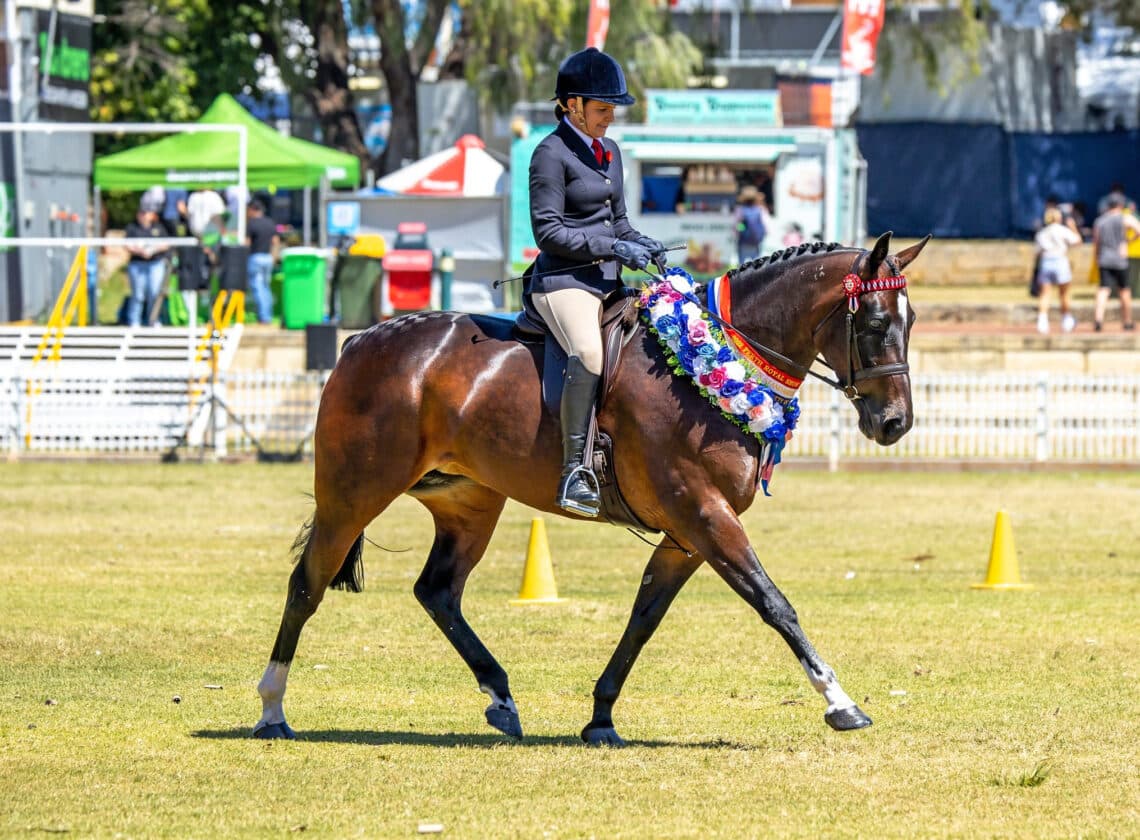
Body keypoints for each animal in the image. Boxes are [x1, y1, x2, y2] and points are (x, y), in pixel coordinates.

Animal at [256, 231, 925, 747]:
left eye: (911, 321)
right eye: (873, 323)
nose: (894, 423)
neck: (711, 362)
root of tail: (362, 339)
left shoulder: (687, 534)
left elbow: (644, 618)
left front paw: (601, 716)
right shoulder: (706, 516)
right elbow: (774, 603)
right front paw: (840, 701)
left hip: (469, 501)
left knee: (438, 591)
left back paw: (501, 697)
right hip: (352, 495)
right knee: (306, 585)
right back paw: (271, 709)